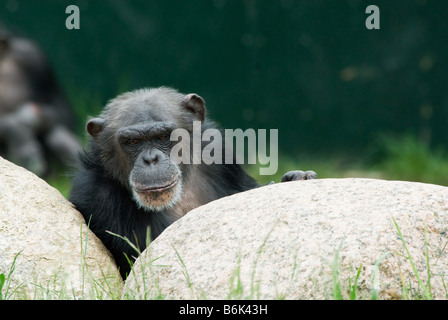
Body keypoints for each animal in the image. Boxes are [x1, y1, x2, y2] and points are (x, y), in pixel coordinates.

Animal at [69, 87, 316, 278]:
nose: (150, 159)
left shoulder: (218, 152)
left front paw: (297, 177)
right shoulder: (96, 195)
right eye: (132, 142)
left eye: (162, 136)